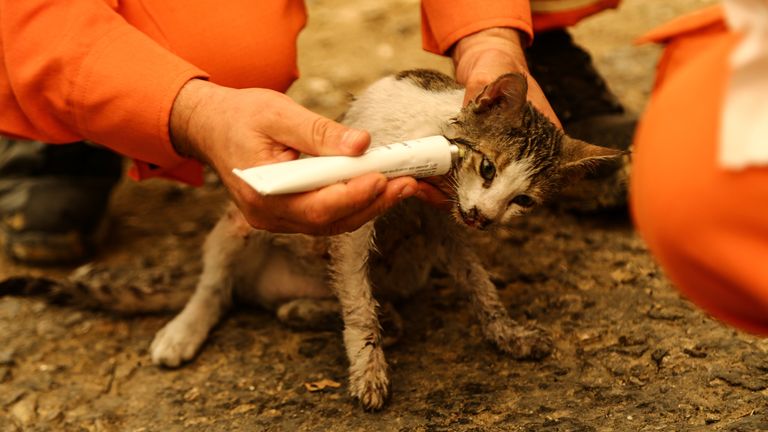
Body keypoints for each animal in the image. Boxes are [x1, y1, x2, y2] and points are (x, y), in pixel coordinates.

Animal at [148, 69, 624, 410]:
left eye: (524, 199)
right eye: (488, 168)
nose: (484, 219)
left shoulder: (447, 226)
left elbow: (479, 284)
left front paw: (506, 331)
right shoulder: (353, 221)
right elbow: (360, 307)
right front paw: (368, 369)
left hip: (408, 267)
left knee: (327, 303)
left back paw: (305, 311)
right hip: (241, 222)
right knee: (217, 287)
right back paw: (182, 332)